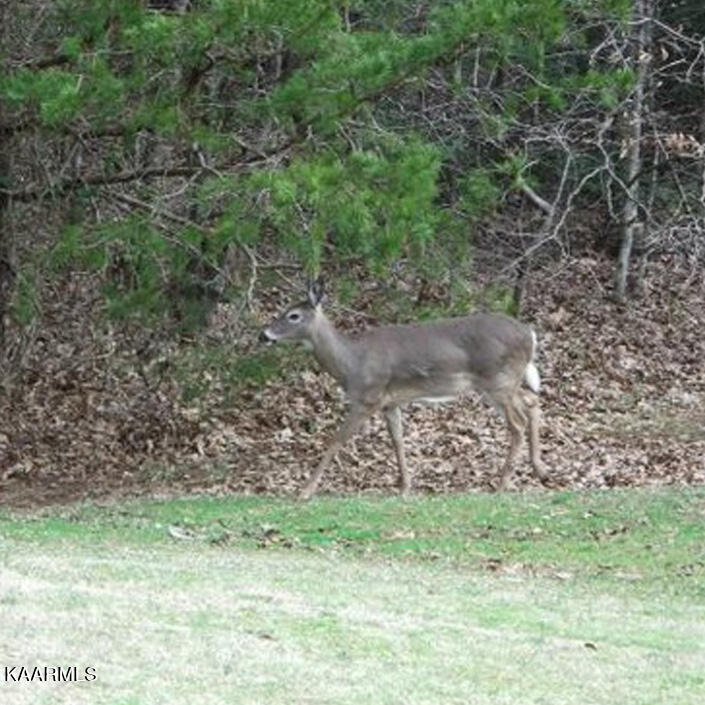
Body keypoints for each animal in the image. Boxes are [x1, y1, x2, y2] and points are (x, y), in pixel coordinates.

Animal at [259, 280, 548, 499]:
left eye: (293, 315)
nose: (263, 335)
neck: (352, 362)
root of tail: (530, 334)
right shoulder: (390, 403)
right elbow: (398, 441)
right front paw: (405, 488)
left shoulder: (367, 398)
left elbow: (336, 440)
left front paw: (305, 491)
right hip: (502, 383)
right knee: (532, 402)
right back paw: (539, 468)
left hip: (498, 380)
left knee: (518, 423)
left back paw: (501, 485)